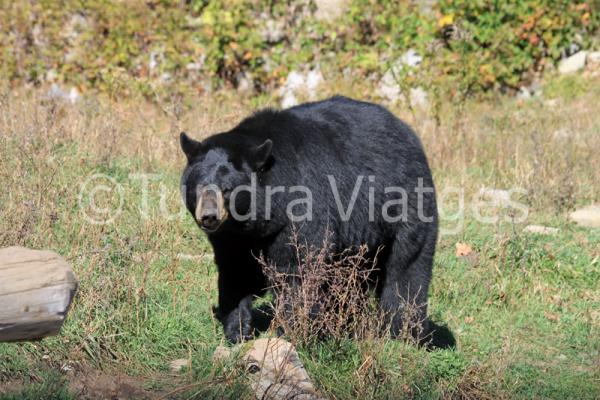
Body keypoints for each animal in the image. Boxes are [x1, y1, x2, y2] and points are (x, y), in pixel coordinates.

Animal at [178, 96, 436, 344]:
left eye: (227, 189)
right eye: (198, 187)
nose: (209, 217)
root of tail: (407, 132)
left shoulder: (302, 205)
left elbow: (298, 269)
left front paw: (291, 330)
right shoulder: (233, 236)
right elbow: (236, 270)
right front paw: (236, 331)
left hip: (403, 205)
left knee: (406, 269)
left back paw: (402, 332)